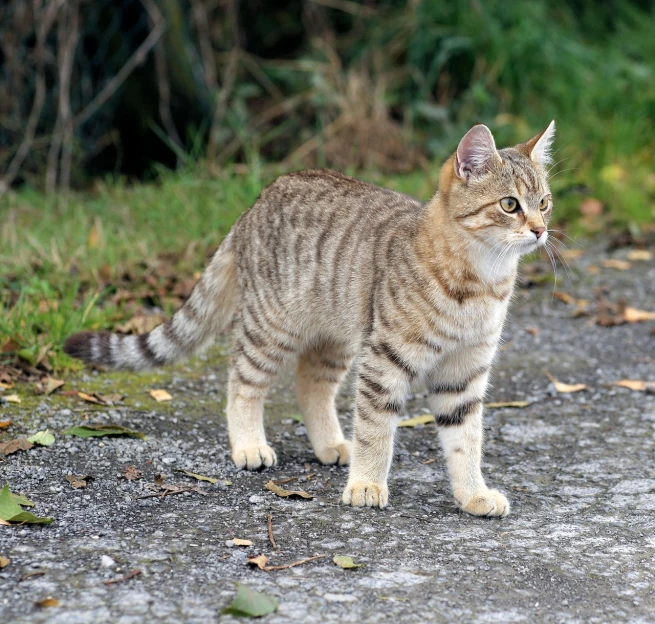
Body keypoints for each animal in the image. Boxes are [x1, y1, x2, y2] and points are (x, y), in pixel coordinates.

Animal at [66, 122, 556, 516]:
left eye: (545, 202)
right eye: (509, 204)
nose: (540, 230)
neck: (481, 282)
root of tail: (254, 204)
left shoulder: (464, 372)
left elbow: (466, 441)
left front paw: (473, 494)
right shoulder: (385, 361)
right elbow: (376, 430)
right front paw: (367, 483)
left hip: (334, 338)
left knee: (310, 385)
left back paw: (330, 444)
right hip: (271, 327)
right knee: (241, 382)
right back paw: (249, 444)